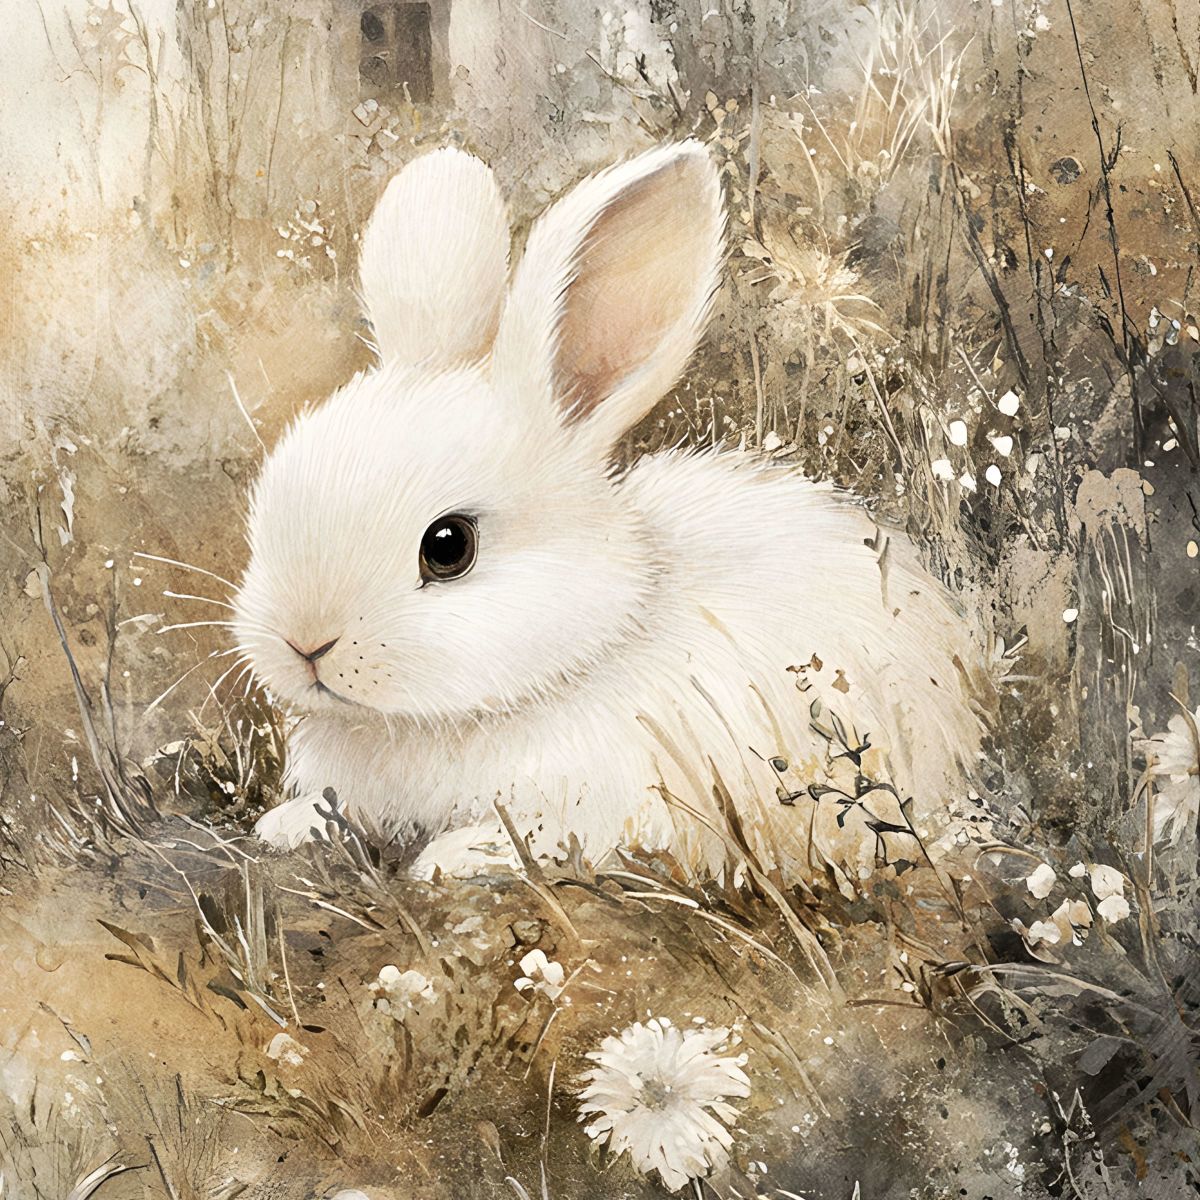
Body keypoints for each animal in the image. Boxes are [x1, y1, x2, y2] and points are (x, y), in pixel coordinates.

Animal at [232, 141, 994, 884]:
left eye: (448, 547)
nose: (304, 643)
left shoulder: (613, 803)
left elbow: (544, 840)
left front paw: (454, 857)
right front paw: (285, 826)